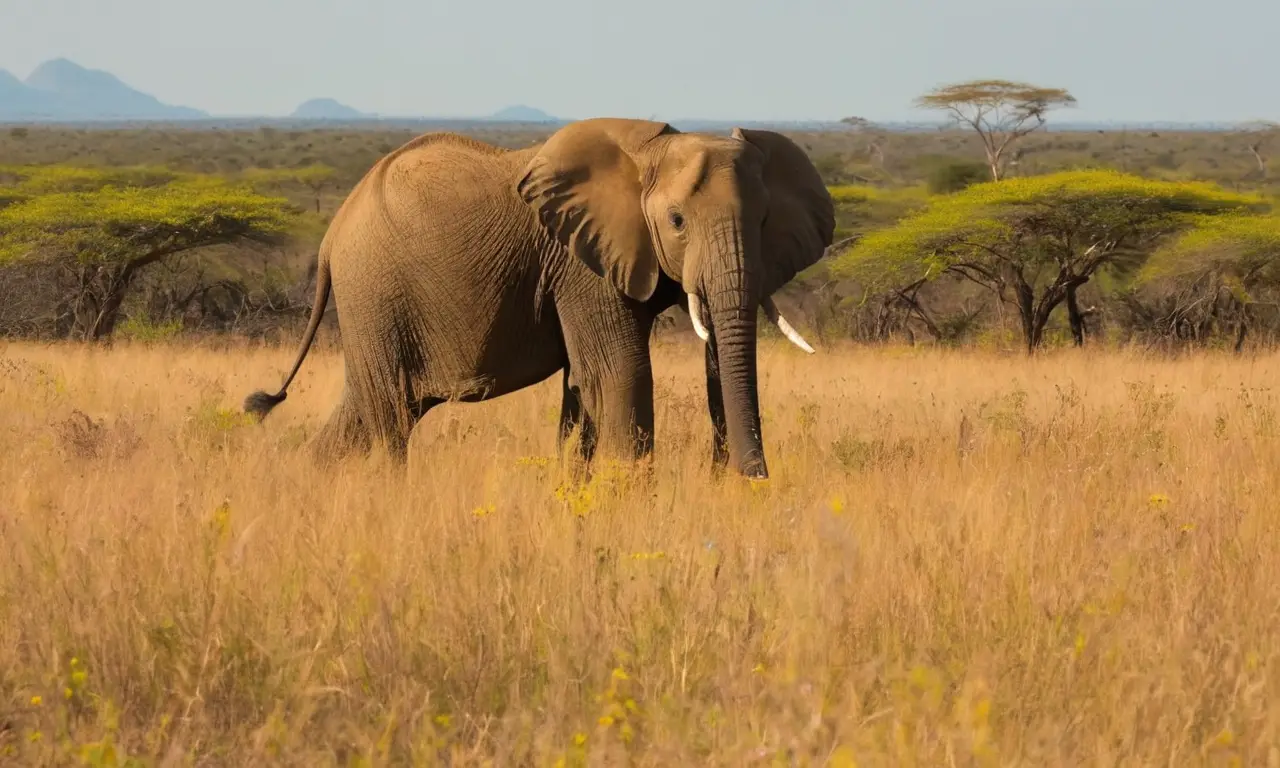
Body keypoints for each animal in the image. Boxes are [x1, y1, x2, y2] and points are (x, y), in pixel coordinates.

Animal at [243, 117, 834, 479]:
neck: (652, 153)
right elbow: (619, 372)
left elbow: (586, 383)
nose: (746, 478)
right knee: (387, 414)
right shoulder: (580, 264)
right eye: (676, 221)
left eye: (764, 221)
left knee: (366, 411)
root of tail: (331, 235)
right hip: (375, 290)